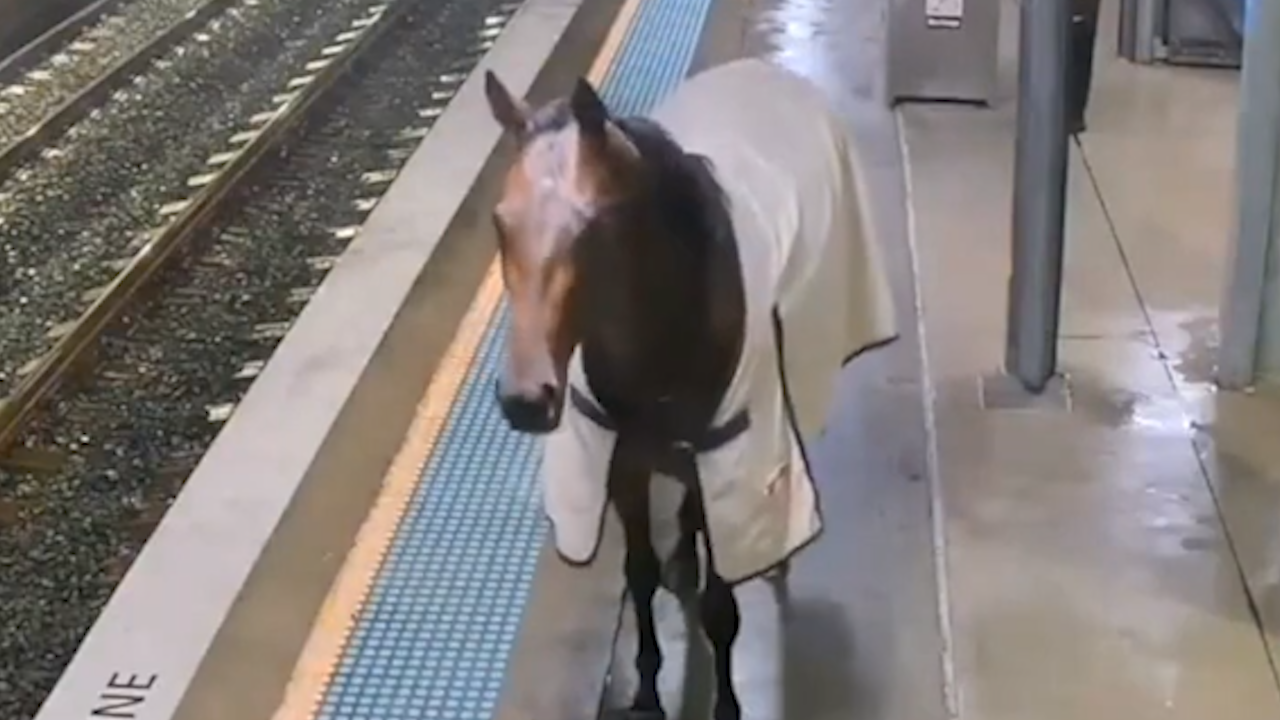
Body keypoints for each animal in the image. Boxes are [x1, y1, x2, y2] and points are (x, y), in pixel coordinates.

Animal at [483, 57, 896, 717]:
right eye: (501, 221)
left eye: (593, 227)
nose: (525, 400)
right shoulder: (623, 467)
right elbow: (640, 574)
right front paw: (648, 687)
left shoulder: (728, 464)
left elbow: (719, 605)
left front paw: (726, 703)